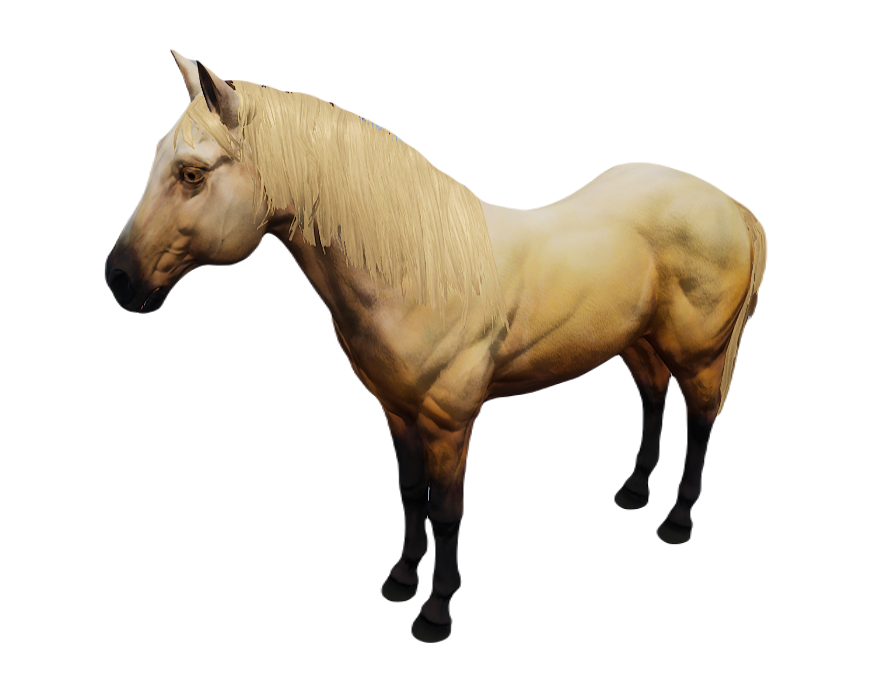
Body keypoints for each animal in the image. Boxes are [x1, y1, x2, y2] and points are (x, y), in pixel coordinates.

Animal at [104, 50, 768, 642]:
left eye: (192, 173)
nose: (119, 278)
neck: (418, 275)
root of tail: (733, 207)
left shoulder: (450, 423)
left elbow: (447, 513)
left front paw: (436, 612)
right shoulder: (398, 412)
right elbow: (409, 494)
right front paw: (400, 580)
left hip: (700, 354)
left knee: (701, 420)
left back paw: (677, 520)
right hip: (639, 341)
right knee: (654, 399)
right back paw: (632, 491)